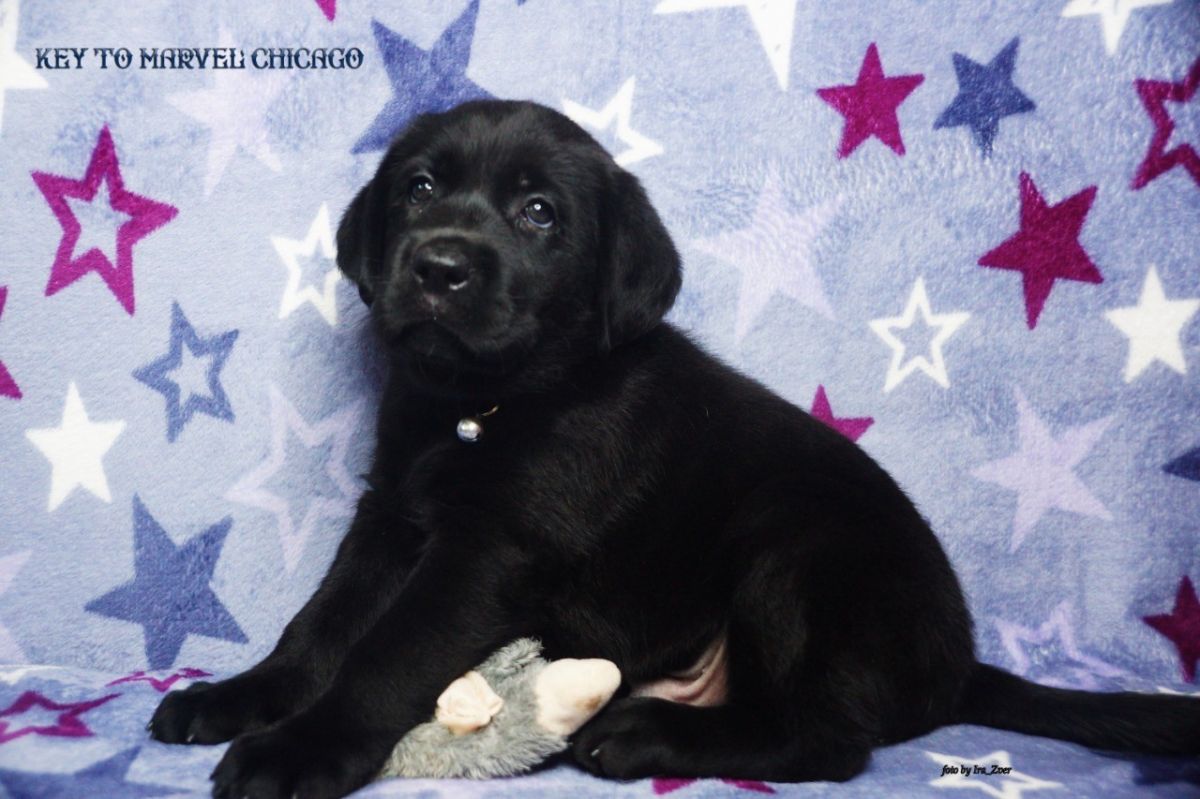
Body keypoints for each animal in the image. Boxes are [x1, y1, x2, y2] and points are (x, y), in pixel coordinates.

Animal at [148, 100, 1200, 799]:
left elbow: (385, 651)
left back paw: (647, 734)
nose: (439, 266)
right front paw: (244, 695)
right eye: (419, 189)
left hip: (796, 548)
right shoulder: (388, 519)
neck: (484, 400)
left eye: (539, 214)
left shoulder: (485, 555)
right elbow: (321, 623)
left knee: (826, 739)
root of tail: (957, 664)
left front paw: (299, 748)